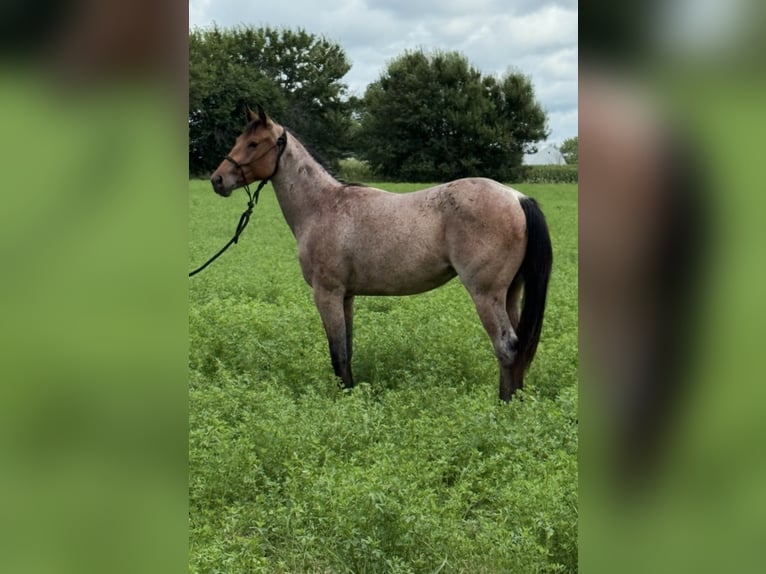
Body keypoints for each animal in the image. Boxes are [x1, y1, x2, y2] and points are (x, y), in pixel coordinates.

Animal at [210, 106, 553, 401]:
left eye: (253, 143)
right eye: (239, 140)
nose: (217, 180)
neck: (323, 206)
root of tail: (517, 197)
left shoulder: (327, 294)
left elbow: (337, 353)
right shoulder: (346, 296)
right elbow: (347, 349)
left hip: (485, 295)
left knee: (507, 348)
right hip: (510, 294)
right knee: (518, 349)